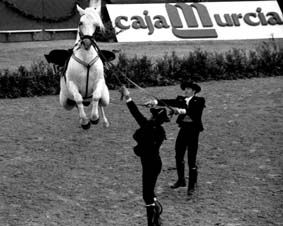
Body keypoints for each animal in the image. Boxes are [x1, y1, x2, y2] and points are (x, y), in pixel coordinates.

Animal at [59, 0, 110, 130]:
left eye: (97, 25)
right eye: (80, 23)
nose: (87, 42)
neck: (86, 59)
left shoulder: (99, 81)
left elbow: (96, 96)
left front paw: (95, 118)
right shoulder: (72, 84)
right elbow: (78, 99)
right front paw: (85, 121)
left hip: (106, 97)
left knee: (101, 103)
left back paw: (104, 121)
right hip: (65, 102)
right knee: (77, 104)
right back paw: (82, 120)